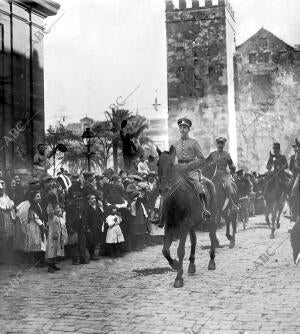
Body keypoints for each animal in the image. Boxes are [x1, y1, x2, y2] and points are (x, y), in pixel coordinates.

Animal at [156, 147, 217, 288]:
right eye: (157, 164)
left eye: (171, 164)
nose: (163, 189)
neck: (175, 198)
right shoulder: (169, 225)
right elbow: (165, 250)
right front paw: (175, 264)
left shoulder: (183, 225)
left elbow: (180, 250)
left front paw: (178, 277)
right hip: (192, 224)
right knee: (194, 240)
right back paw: (192, 264)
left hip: (211, 218)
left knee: (211, 235)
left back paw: (211, 261)